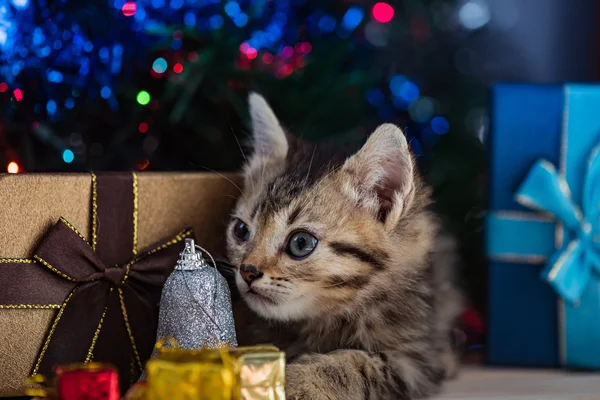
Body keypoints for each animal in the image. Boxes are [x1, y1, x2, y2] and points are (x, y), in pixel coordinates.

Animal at [226, 92, 464, 398]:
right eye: (241, 231)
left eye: (301, 243)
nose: (247, 271)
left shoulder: (416, 361)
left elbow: (355, 363)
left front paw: (297, 380)